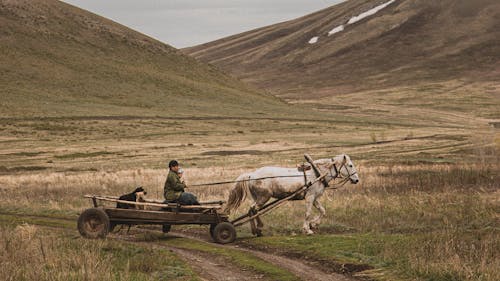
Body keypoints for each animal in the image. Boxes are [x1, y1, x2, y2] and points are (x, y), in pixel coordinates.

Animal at [224, 153, 360, 234]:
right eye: (350, 165)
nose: (357, 180)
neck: (318, 173)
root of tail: (251, 174)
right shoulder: (310, 197)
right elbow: (307, 213)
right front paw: (307, 229)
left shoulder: (314, 198)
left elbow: (322, 210)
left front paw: (314, 224)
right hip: (263, 198)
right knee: (253, 210)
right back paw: (258, 228)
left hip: (258, 198)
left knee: (251, 210)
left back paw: (256, 229)